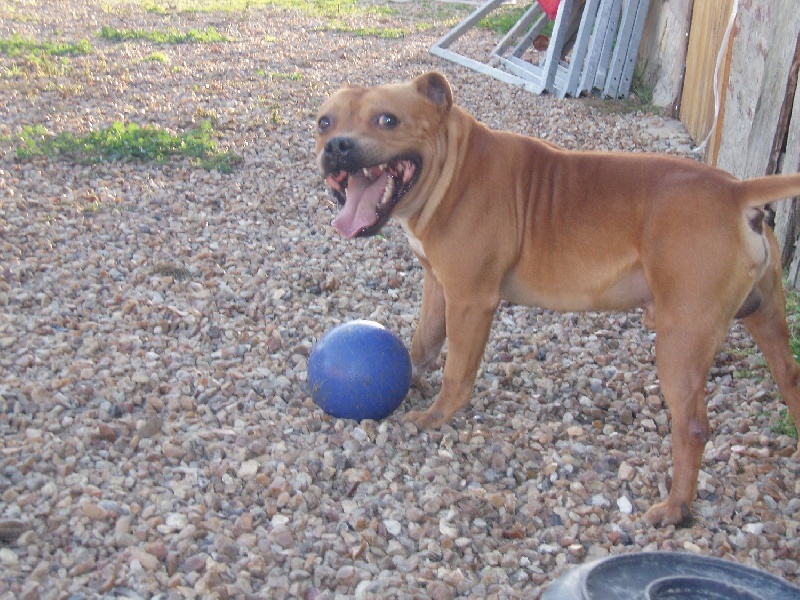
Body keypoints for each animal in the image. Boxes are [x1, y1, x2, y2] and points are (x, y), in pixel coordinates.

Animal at [314, 71, 800, 526]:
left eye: (387, 120)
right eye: (324, 122)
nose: (337, 146)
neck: (453, 166)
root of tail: (737, 192)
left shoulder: (470, 300)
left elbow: (456, 371)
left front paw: (437, 416)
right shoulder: (438, 286)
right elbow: (423, 342)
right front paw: (410, 377)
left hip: (681, 340)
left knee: (693, 427)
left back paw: (675, 508)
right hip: (766, 320)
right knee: (790, 380)